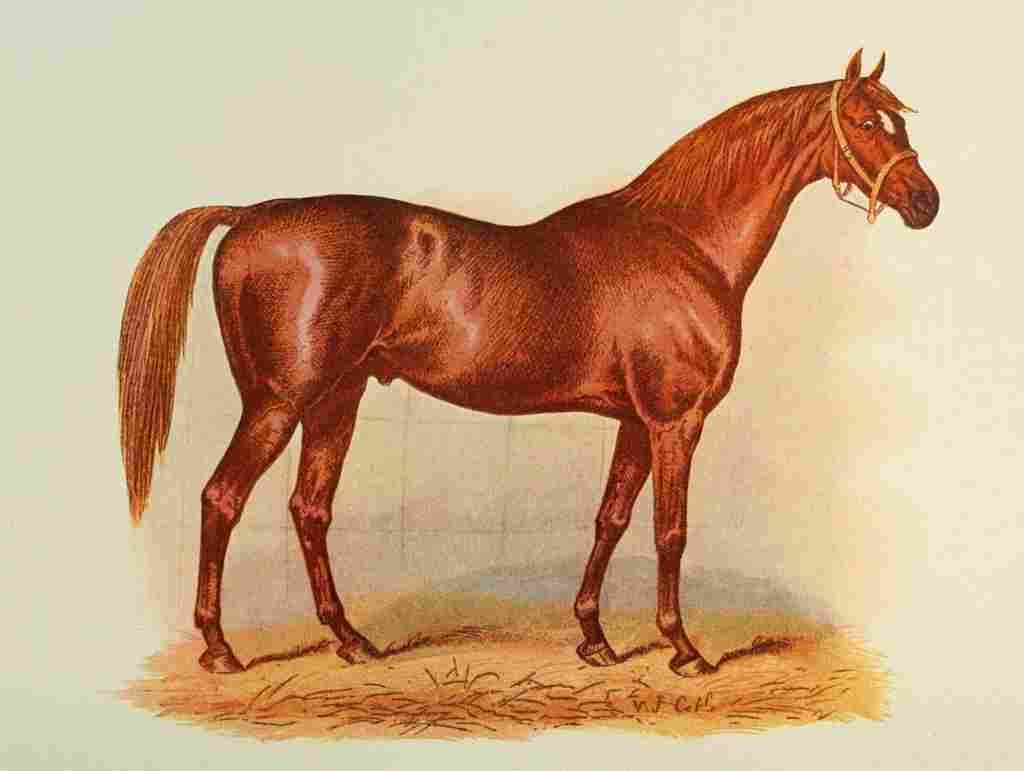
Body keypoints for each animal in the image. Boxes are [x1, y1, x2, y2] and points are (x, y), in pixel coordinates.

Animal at [118, 49, 939, 677]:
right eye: (866, 121)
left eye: (898, 118)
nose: (925, 201)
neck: (683, 242)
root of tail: (251, 214)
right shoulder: (677, 421)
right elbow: (669, 532)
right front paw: (683, 649)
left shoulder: (636, 423)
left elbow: (611, 519)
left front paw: (594, 637)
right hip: (279, 402)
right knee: (222, 499)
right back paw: (220, 649)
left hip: (335, 402)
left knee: (308, 510)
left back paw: (351, 640)